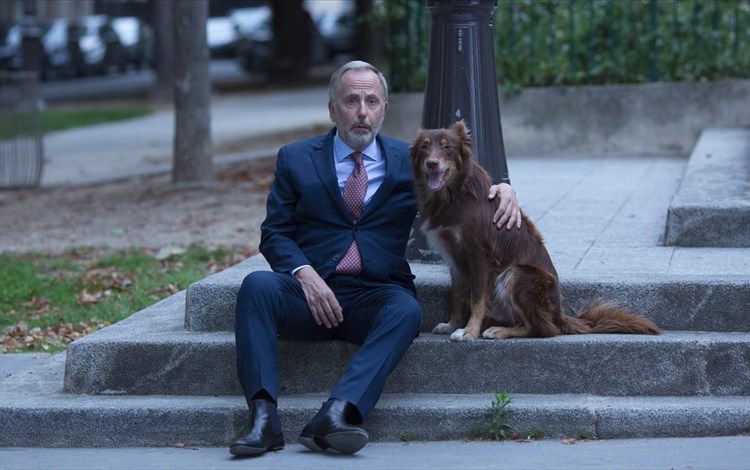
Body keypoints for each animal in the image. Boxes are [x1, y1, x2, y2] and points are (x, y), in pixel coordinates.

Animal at [412, 121, 664, 342]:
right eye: (424, 147)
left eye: (447, 147)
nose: (432, 164)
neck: (454, 193)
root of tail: (560, 314)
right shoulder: (453, 255)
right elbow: (457, 295)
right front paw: (452, 324)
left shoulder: (479, 254)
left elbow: (477, 299)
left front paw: (468, 331)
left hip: (517, 274)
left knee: (543, 328)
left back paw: (499, 331)